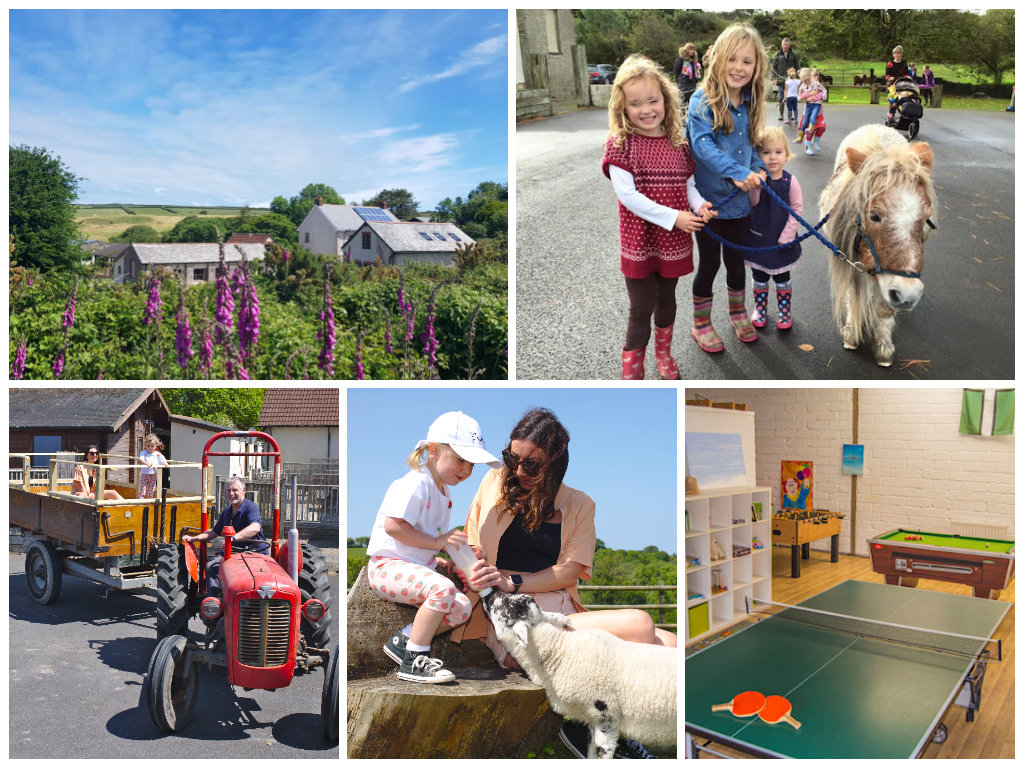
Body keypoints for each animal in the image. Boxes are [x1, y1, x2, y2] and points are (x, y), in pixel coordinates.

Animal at [483, 593, 675, 761]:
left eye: (505, 607)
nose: (489, 595)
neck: (561, 653)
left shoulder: (607, 716)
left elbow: (602, 752)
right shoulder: (592, 718)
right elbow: (591, 752)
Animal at [815, 124, 937, 368]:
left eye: (926, 218)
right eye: (874, 216)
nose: (908, 295)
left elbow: (884, 309)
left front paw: (883, 345)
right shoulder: (851, 260)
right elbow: (854, 295)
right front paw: (852, 333)